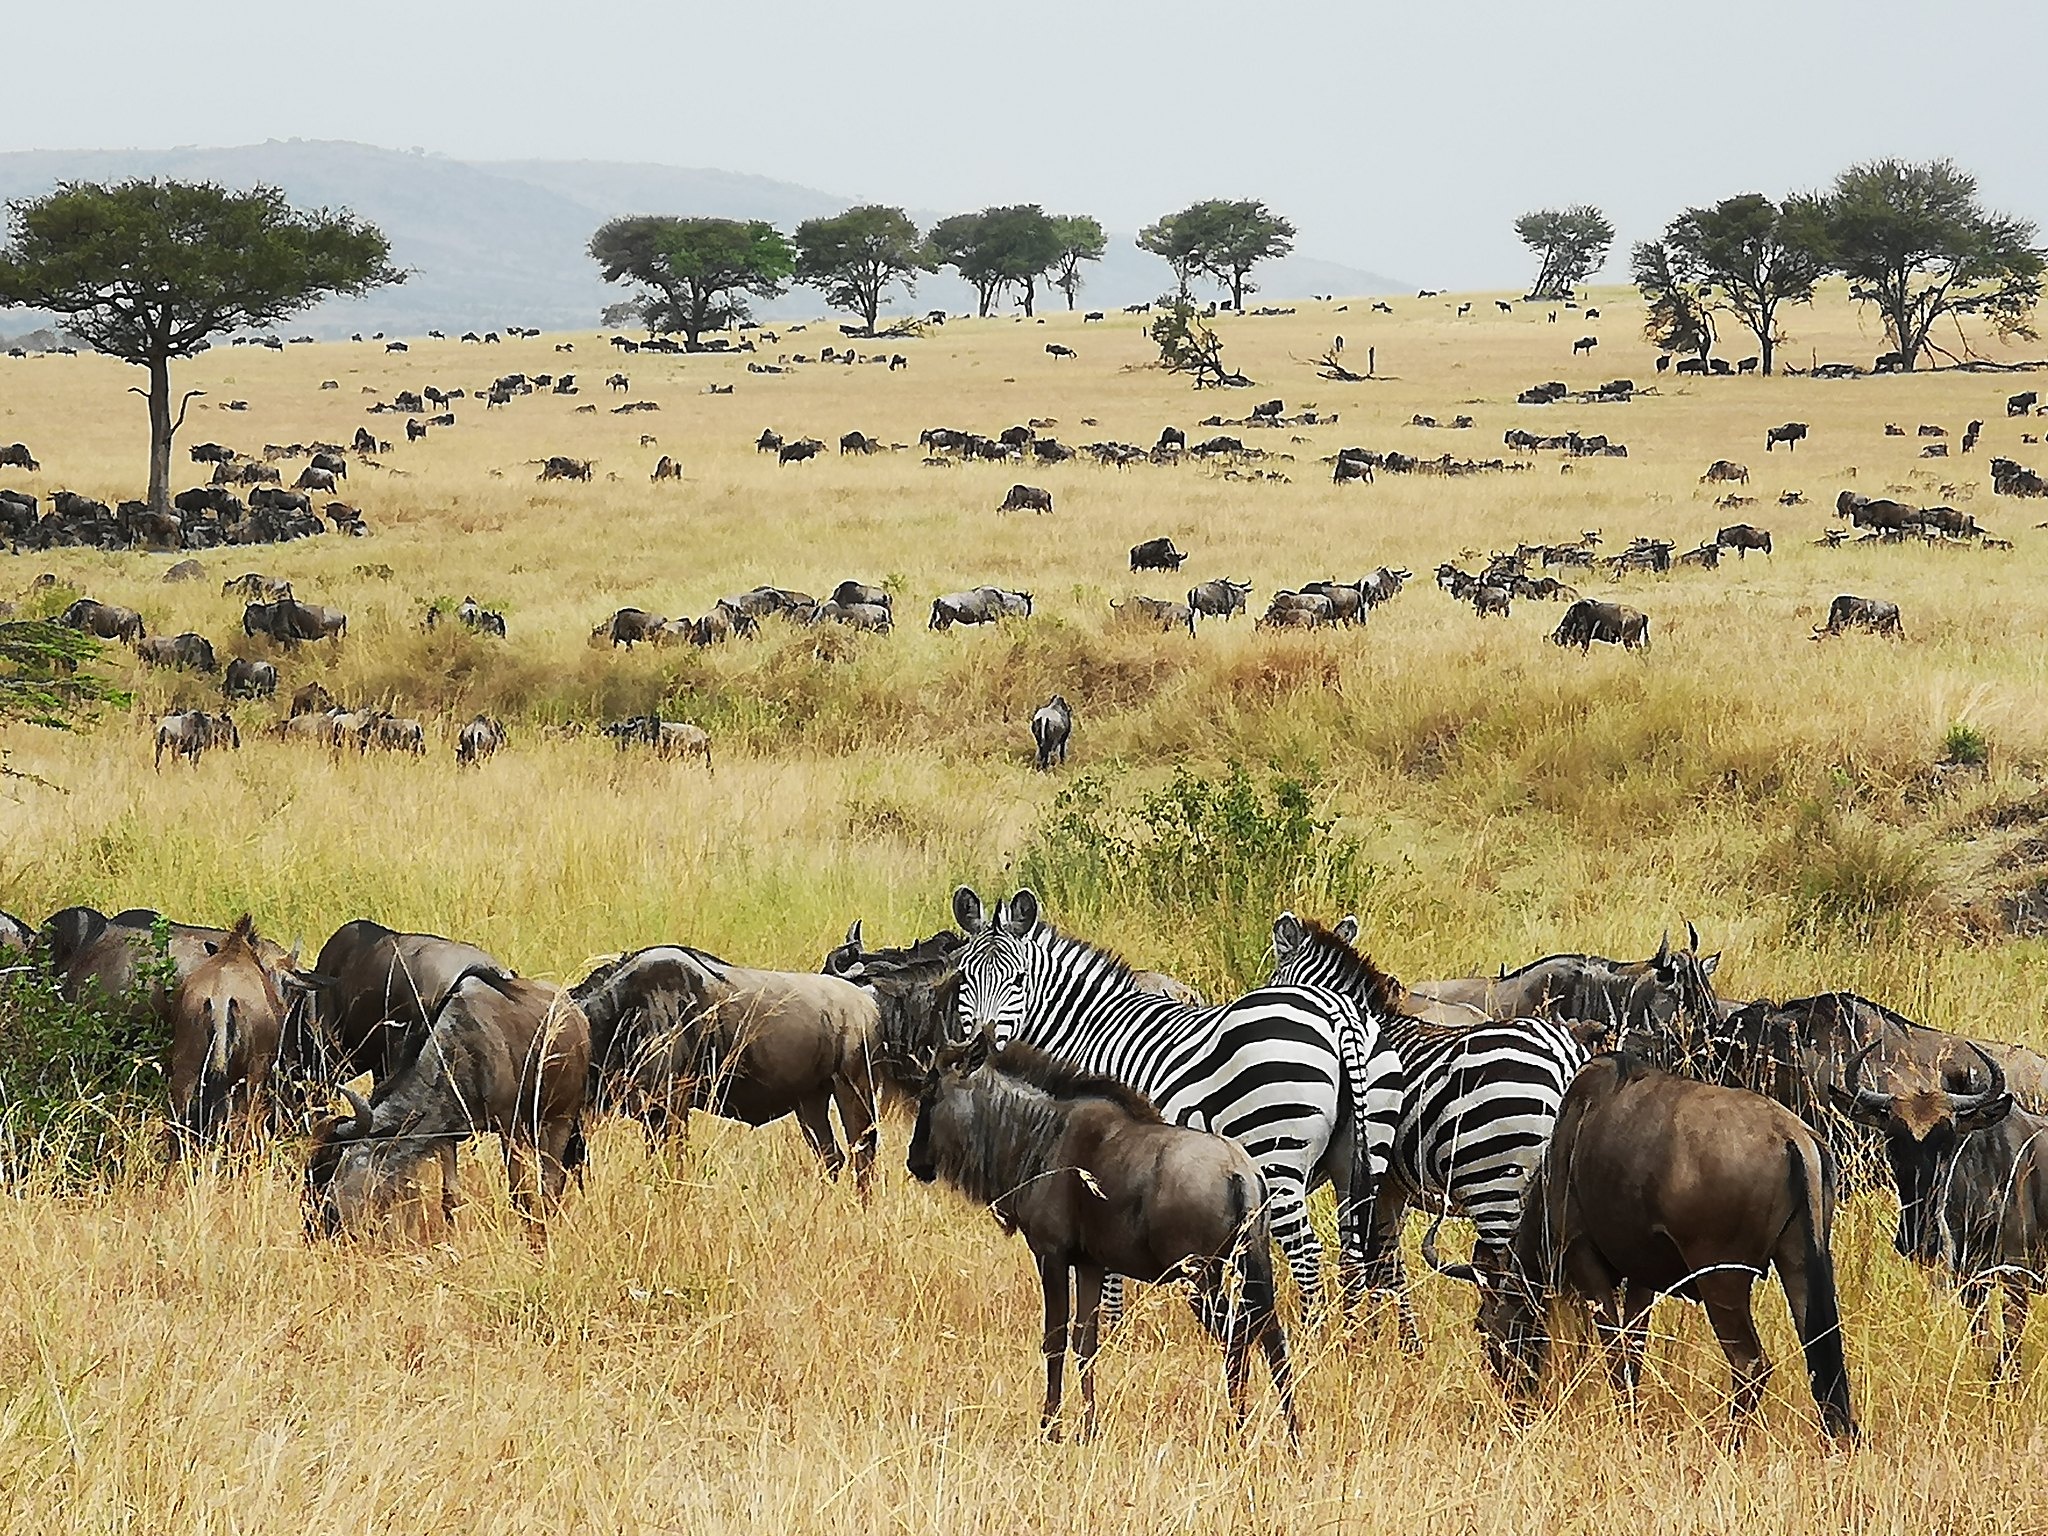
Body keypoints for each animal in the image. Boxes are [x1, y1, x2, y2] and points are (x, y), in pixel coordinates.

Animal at [913, 1036, 1294, 1441]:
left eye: (929, 1092)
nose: (914, 1162)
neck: (1042, 1133)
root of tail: (1240, 1172)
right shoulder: (1090, 1264)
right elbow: (1086, 1342)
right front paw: (1089, 1426)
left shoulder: (1051, 1254)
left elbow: (1055, 1340)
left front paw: (1051, 1427)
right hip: (1252, 1266)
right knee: (1272, 1337)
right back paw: (1291, 1436)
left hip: (1201, 1276)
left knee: (1237, 1336)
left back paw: (1237, 1429)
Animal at [946, 888, 1409, 1327]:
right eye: (964, 977)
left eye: (1018, 980)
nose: (981, 1047)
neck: (1085, 1027)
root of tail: (1338, 1013)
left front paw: (1109, 1329)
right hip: (1361, 1157)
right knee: (1356, 1251)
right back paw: (1350, 1337)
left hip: (1276, 1153)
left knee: (1308, 1253)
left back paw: (1314, 1335)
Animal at [1269, 909, 1589, 1351]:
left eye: (1273, 980)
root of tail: (1562, 1058)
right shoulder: (1394, 1188)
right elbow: (1383, 1262)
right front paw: (1397, 1342)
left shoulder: (1376, 1181)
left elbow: (1372, 1261)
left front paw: (1369, 1340)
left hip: (1496, 1183)